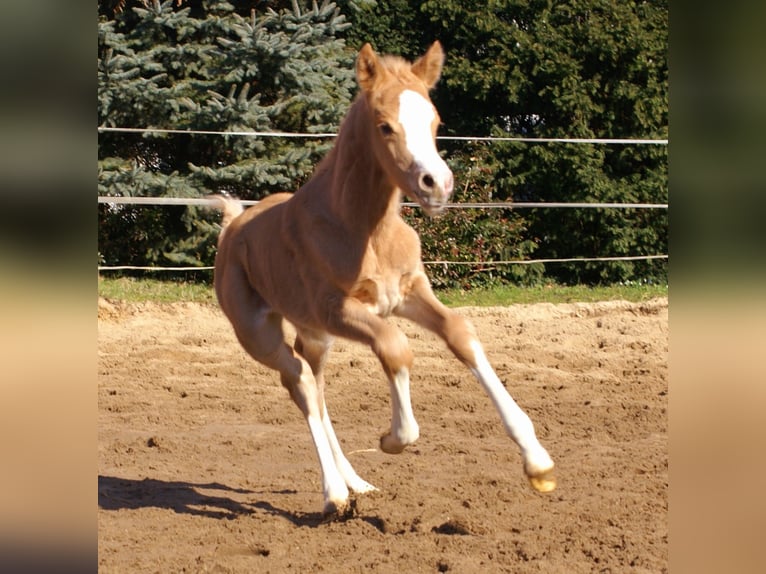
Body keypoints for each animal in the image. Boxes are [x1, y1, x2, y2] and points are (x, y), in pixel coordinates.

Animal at [216, 41, 560, 516]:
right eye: (385, 126)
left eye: (435, 121)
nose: (437, 185)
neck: (364, 228)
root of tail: (232, 227)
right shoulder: (340, 308)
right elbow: (394, 346)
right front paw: (393, 439)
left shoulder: (409, 292)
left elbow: (461, 333)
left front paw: (538, 462)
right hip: (259, 334)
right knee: (300, 382)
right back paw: (334, 493)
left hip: (314, 334)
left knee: (315, 385)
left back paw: (355, 483)